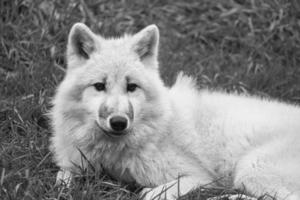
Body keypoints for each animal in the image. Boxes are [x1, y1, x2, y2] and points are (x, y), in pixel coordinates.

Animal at [49, 23, 300, 200]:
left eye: (132, 87)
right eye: (99, 86)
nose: (119, 122)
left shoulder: (201, 177)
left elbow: (152, 194)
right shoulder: (76, 163)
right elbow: (61, 177)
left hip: (251, 169)